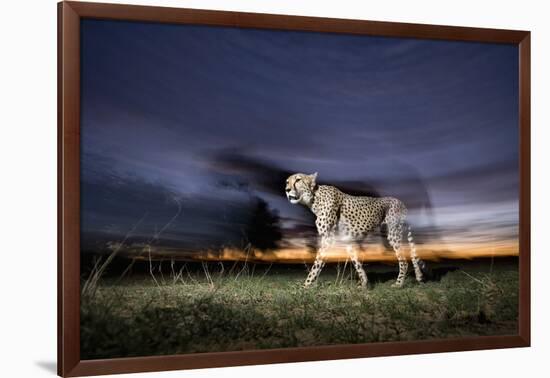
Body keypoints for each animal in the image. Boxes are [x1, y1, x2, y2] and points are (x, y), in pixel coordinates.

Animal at [286, 173, 430, 288]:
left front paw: (306, 286)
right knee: (412, 252)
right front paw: (365, 283)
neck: (314, 198)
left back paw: (399, 284)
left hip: (393, 234)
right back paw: (419, 277)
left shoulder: (327, 239)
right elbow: (357, 262)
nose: (287, 190)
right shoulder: (348, 240)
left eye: (298, 180)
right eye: (287, 181)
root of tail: (401, 202)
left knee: (404, 261)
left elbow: (317, 264)